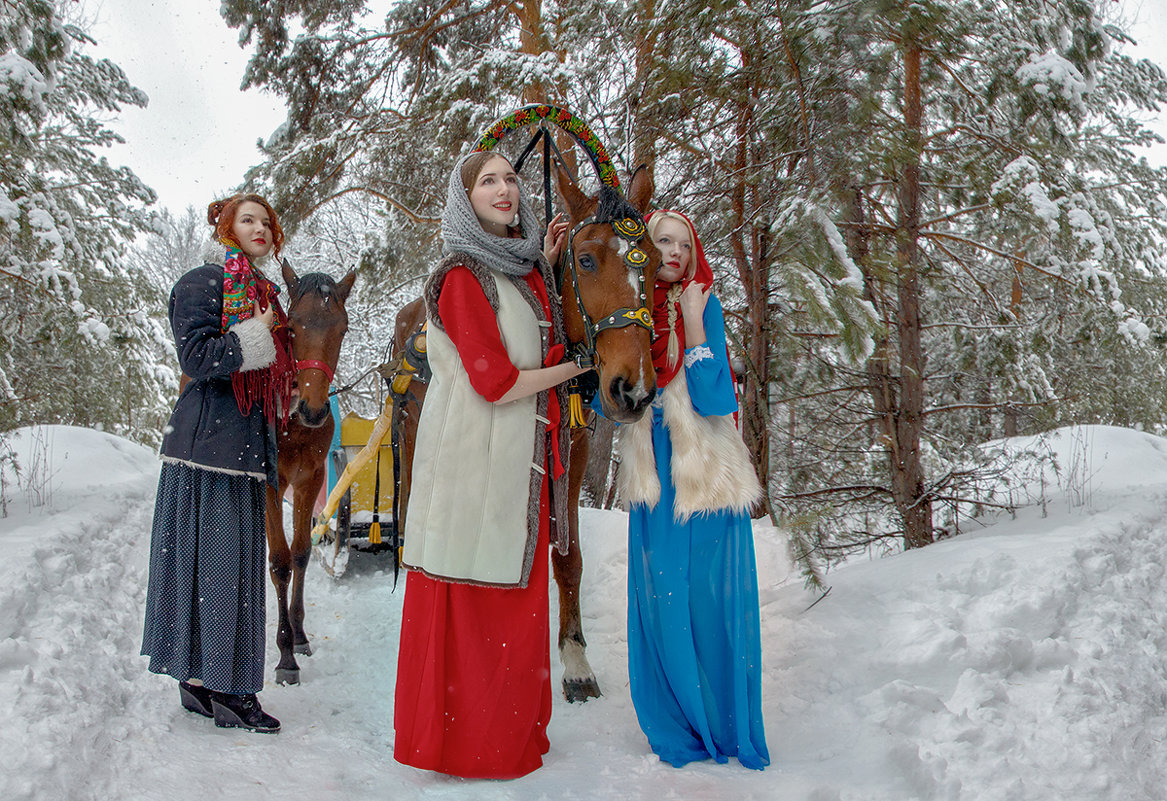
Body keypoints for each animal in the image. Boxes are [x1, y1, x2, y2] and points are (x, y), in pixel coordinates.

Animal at [387, 168, 653, 700]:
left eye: (654, 259)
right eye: (586, 259)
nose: (633, 390)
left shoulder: (575, 449)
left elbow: (569, 557)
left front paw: (575, 659)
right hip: (411, 425)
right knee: (409, 504)